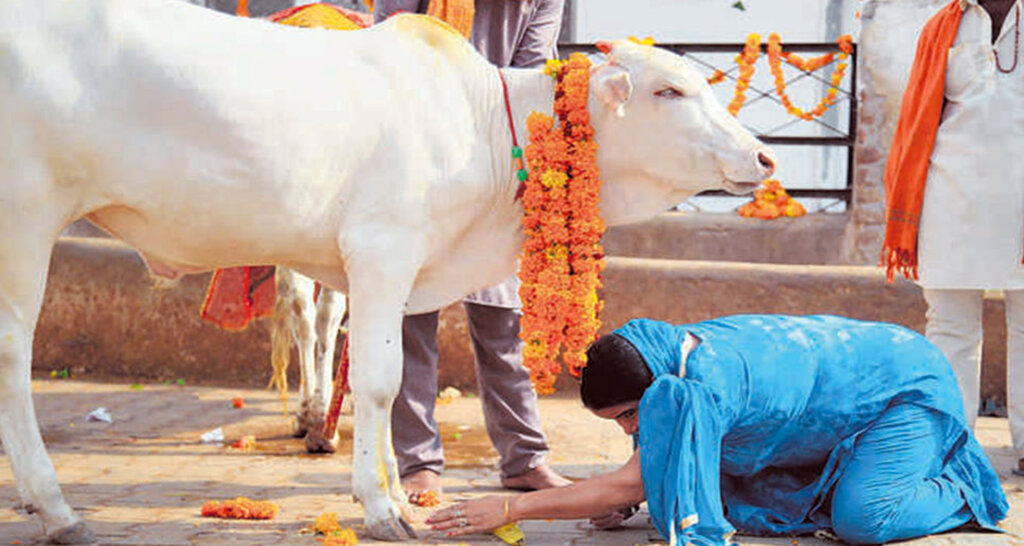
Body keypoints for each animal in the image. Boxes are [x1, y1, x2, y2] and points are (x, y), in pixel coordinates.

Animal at [0, 1, 770, 540]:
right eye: (669, 91)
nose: (762, 157)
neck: (486, 127)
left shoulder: (395, 272)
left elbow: (392, 384)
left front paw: (398, 491)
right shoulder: (381, 250)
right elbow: (380, 382)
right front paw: (380, 508)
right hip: (24, 219)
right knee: (12, 358)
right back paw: (56, 509)